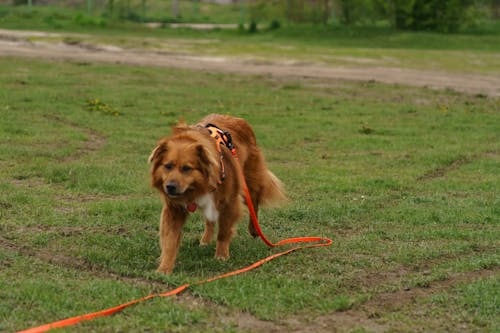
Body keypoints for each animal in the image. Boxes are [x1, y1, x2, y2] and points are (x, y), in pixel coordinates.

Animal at [148, 114, 286, 272]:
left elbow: (223, 233)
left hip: (249, 180)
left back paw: (254, 229)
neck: (198, 186)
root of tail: (237, 119)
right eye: (168, 166)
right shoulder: (174, 209)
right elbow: (170, 239)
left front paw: (221, 255)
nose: (170, 187)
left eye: (187, 168)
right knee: (210, 221)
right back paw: (205, 240)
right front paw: (164, 267)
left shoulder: (229, 202)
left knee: (254, 203)